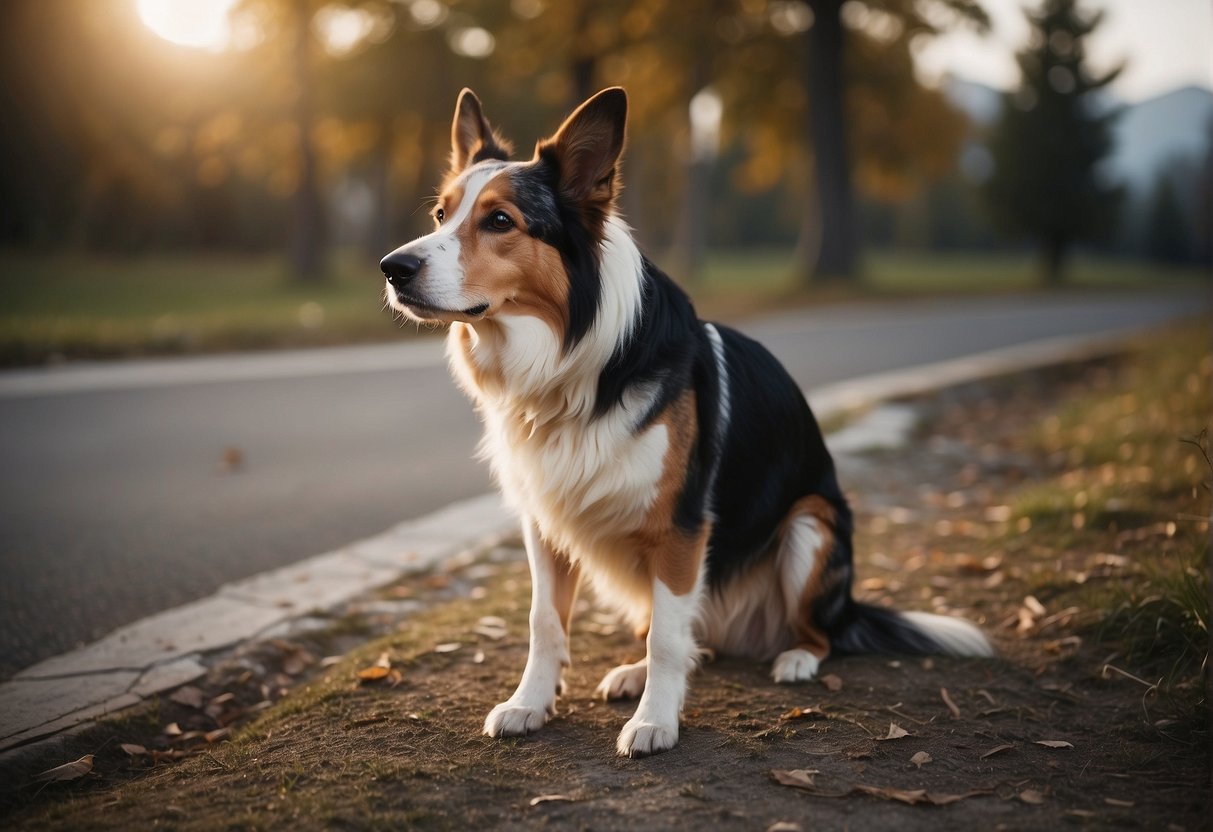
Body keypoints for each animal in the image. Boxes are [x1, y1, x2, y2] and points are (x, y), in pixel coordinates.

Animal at [380, 87, 994, 761]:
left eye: (498, 221)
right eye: (442, 215)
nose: (392, 267)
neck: (572, 364)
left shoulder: (680, 527)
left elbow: (668, 639)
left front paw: (655, 722)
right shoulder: (543, 522)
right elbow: (546, 622)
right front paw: (529, 704)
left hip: (811, 526)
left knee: (804, 633)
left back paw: (795, 659)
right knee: (697, 640)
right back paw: (636, 673)